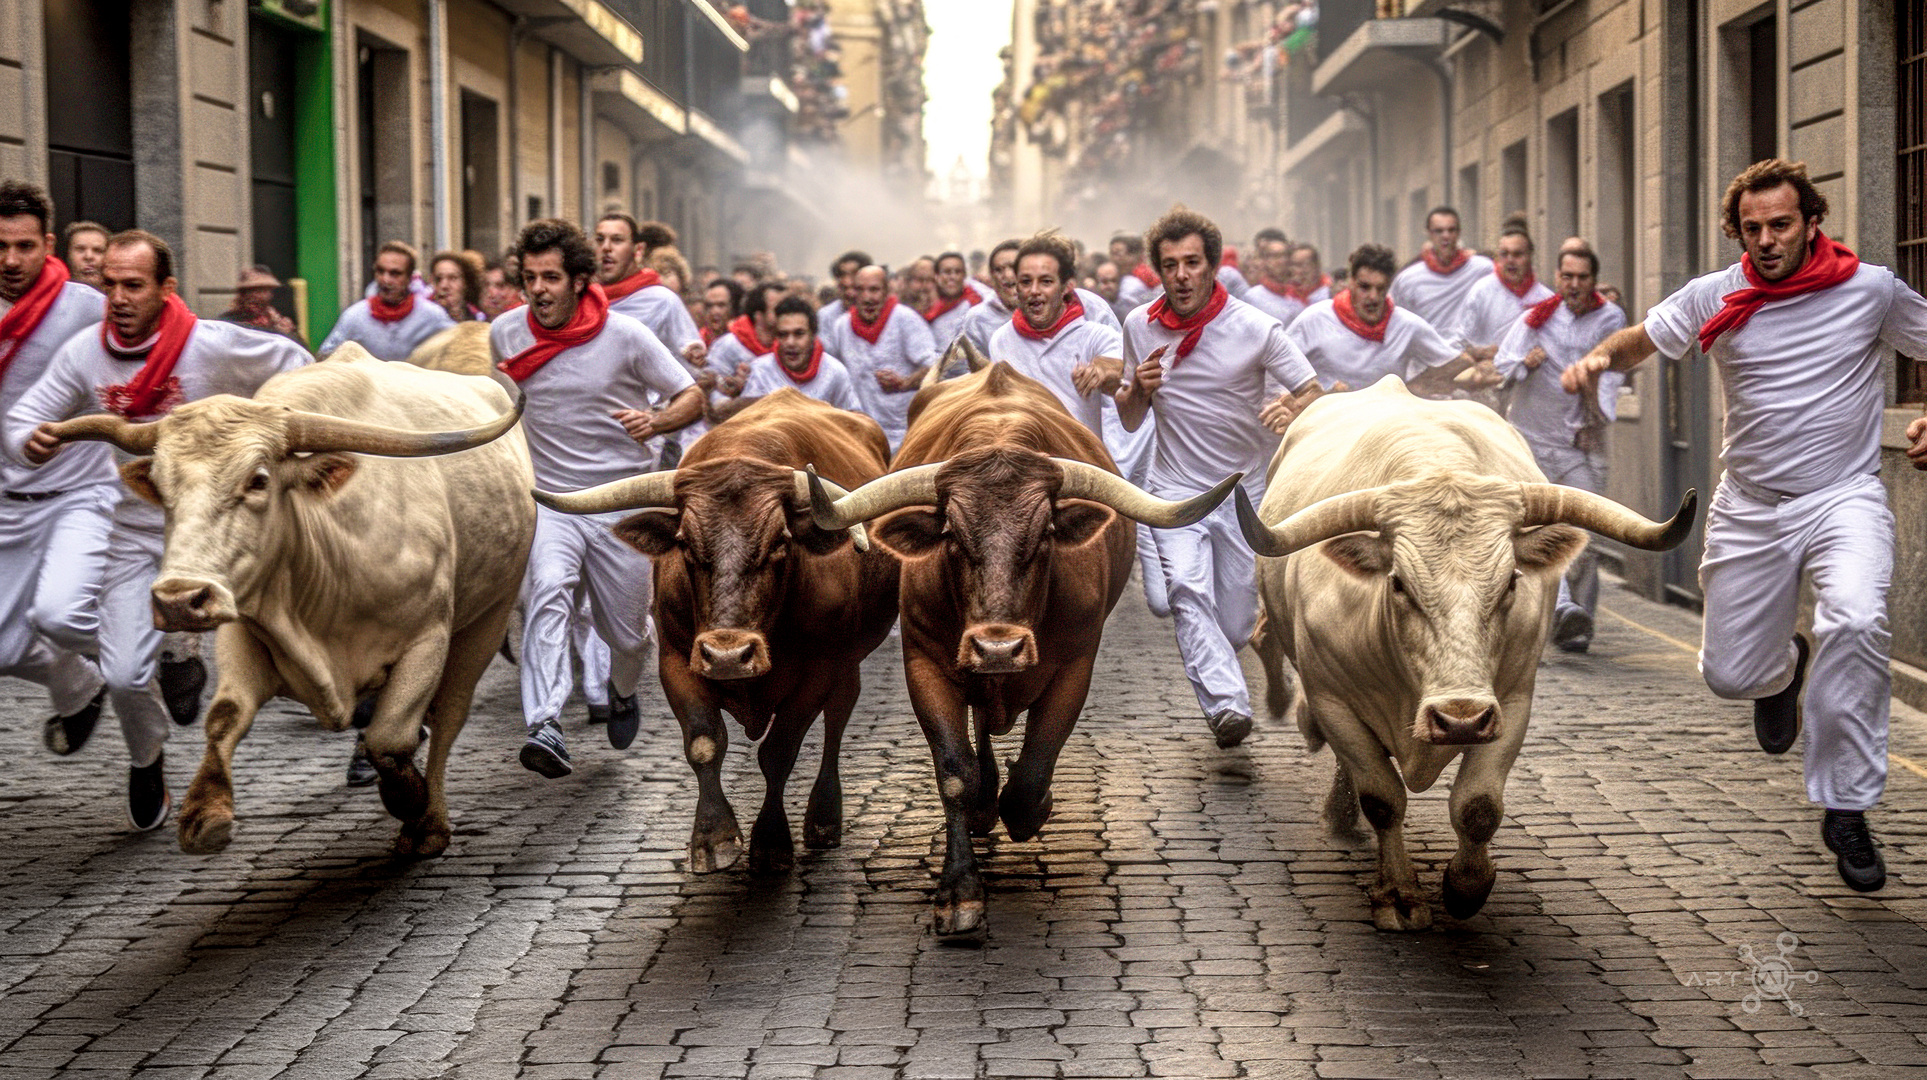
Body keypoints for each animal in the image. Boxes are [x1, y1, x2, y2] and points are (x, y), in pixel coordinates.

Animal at [52, 351, 535, 856]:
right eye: (163, 489)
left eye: (258, 480)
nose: (180, 599)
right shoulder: (245, 624)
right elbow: (224, 716)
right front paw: (205, 811)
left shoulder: (428, 639)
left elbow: (390, 737)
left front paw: (411, 801)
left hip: (488, 618)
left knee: (448, 716)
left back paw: (432, 822)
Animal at [539, 391, 897, 871]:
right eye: (684, 543)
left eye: (781, 542)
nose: (728, 655)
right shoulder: (677, 660)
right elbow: (705, 743)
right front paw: (713, 838)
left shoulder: (818, 672)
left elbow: (779, 753)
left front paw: (771, 843)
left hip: (848, 661)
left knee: (838, 719)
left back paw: (824, 819)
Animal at [809, 364, 1233, 937]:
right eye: (952, 536)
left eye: (1046, 534)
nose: (998, 648)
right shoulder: (924, 663)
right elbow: (956, 774)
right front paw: (960, 891)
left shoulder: (1076, 665)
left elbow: (1034, 769)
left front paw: (1028, 809)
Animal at [1233, 378, 1688, 929]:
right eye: (1398, 584)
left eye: (1511, 581)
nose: (1460, 718)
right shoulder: (1332, 699)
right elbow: (1382, 797)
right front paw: (1398, 894)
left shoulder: (1511, 702)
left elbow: (1478, 806)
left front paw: (1466, 888)